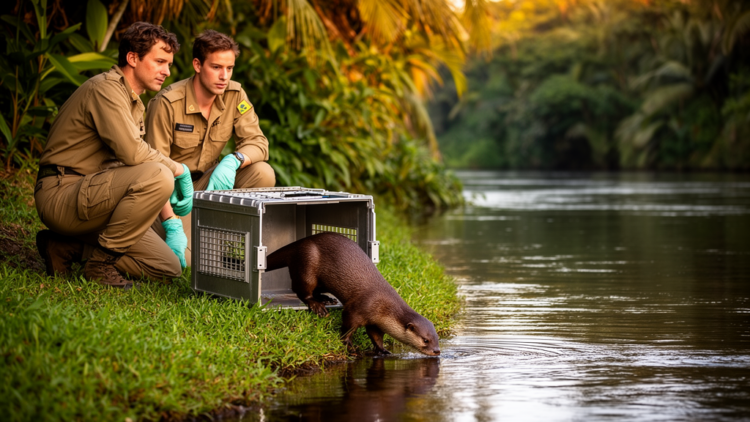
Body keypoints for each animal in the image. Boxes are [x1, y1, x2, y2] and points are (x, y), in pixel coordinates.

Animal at [265, 232, 441, 356]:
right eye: (425, 340)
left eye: (437, 338)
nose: (437, 351)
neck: (384, 307)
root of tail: (300, 242)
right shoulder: (358, 308)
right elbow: (348, 327)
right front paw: (349, 346)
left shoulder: (375, 322)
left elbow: (376, 336)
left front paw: (383, 350)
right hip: (307, 263)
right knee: (301, 289)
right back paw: (317, 305)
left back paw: (326, 298)